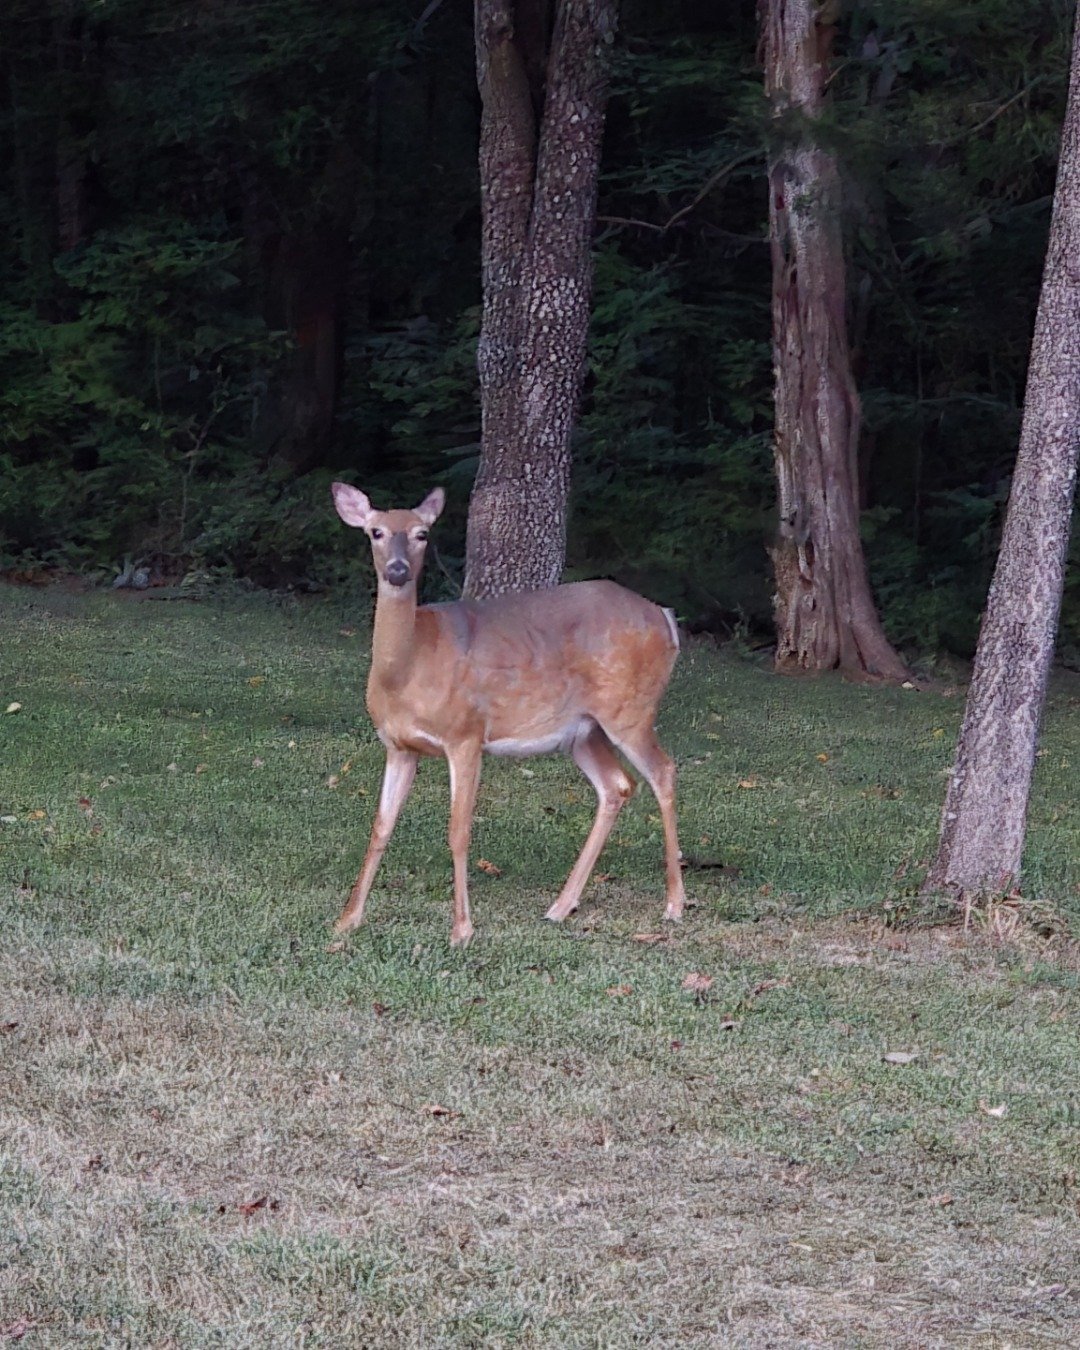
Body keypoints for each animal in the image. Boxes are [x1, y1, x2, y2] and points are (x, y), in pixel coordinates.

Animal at [330, 483, 686, 947]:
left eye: (422, 533)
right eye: (375, 531)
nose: (397, 569)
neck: (407, 669)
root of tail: (666, 618)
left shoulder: (465, 734)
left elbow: (458, 831)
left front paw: (462, 930)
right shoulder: (398, 746)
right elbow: (380, 827)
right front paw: (347, 920)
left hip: (631, 709)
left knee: (663, 771)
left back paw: (675, 904)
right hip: (583, 731)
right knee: (616, 786)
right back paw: (559, 907)